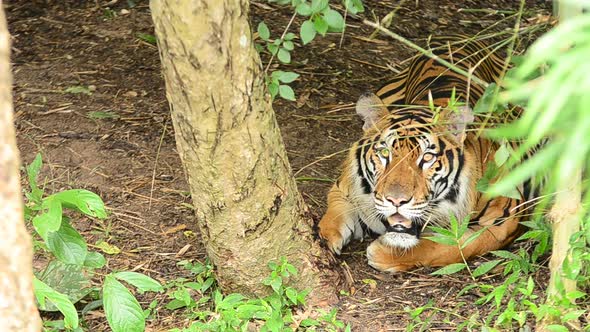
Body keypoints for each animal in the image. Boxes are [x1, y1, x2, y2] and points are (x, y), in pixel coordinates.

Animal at [320, 35, 536, 272]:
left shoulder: (501, 222)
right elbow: (334, 214)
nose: (396, 201)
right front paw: (324, 240)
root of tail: (455, 37)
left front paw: (385, 253)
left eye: (427, 157)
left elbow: (452, 245)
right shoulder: (345, 188)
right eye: (384, 152)